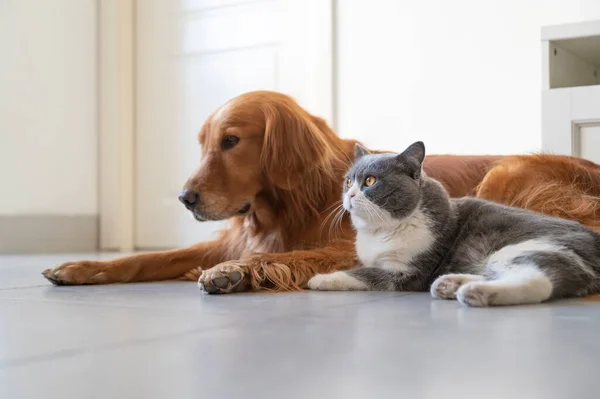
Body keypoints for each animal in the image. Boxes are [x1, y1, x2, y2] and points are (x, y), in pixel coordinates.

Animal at [310, 142, 600, 308]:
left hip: (527, 247)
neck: (380, 230)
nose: (349, 195)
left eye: (370, 181)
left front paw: (319, 278)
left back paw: (476, 292)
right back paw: (450, 284)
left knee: (541, 280)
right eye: (348, 181)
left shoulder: (406, 272)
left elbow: (362, 273)